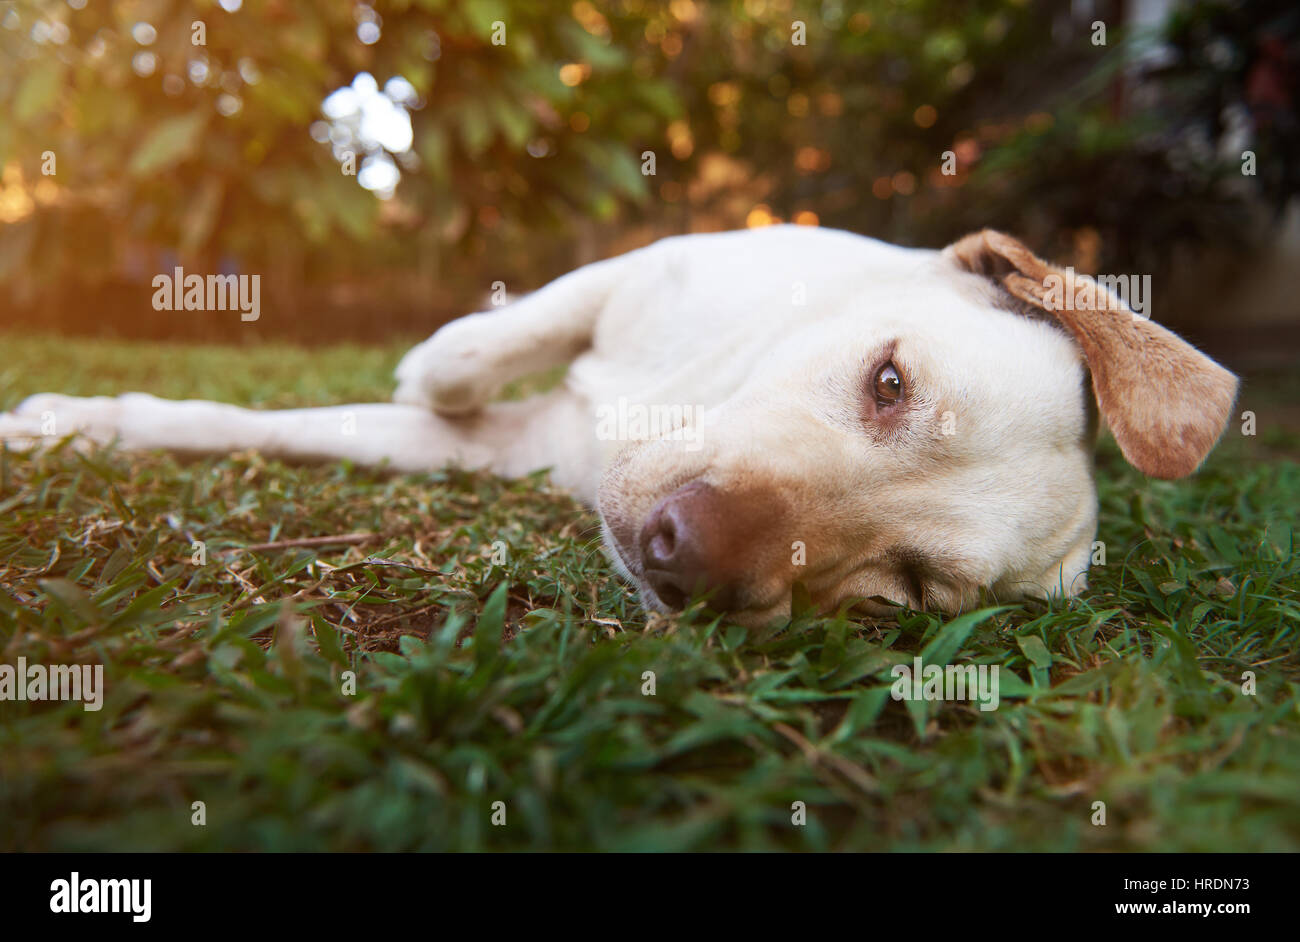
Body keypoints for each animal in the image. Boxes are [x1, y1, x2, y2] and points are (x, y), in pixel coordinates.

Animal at [2, 226, 1237, 623]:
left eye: (907, 592)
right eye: (889, 382)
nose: (681, 558)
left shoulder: (498, 453)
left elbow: (307, 426)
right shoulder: (650, 263)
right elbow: (516, 327)